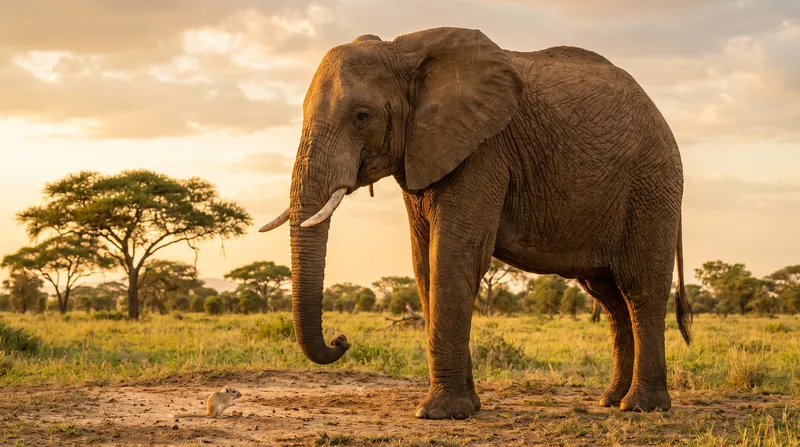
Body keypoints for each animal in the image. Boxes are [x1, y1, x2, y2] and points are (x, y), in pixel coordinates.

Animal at [259, 27, 693, 419]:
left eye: (362, 116)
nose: (341, 339)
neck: (403, 50)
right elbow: (424, 264)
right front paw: (467, 407)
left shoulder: (483, 150)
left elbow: (455, 256)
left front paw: (440, 413)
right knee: (610, 298)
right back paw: (609, 400)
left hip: (651, 187)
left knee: (640, 289)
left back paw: (641, 407)